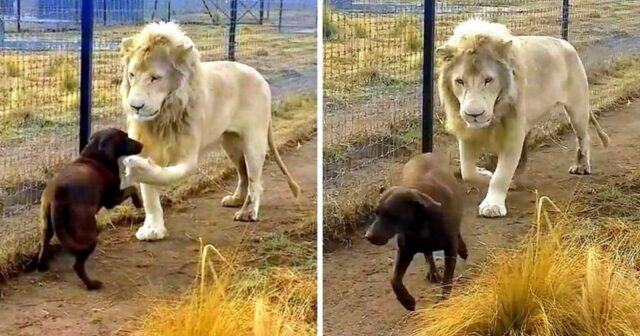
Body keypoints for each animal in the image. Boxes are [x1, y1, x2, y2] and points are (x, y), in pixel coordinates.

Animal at [37, 127, 144, 290]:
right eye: (125, 137)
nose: (142, 144)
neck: (95, 156)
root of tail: (59, 194)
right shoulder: (113, 198)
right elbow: (133, 187)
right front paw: (139, 203)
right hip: (89, 232)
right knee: (78, 266)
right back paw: (92, 284)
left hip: (46, 225)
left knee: (44, 245)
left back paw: (42, 266)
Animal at [119, 21, 302, 242]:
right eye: (132, 75)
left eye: (156, 78)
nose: (135, 106)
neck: (163, 117)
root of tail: (260, 77)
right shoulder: (149, 145)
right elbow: (149, 196)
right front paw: (153, 230)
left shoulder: (188, 154)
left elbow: (167, 174)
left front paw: (137, 167)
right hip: (231, 143)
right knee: (243, 172)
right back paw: (235, 199)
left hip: (254, 141)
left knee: (254, 179)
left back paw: (248, 212)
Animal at [364, 152, 464, 310]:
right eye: (376, 212)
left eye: (393, 216)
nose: (368, 236)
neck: (420, 225)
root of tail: (425, 153)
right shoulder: (405, 251)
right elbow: (394, 279)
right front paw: (407, 301)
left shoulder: (450, 249)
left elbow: (447, 280)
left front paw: (443, 302)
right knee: (428, 253)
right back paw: (432, 271)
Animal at [436, 19, 608, 218]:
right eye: (460, 81)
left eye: (488, 80)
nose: (474, 114)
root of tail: (566, 43)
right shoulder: (468, 133)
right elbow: (467, 172)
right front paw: (486, 173)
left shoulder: (513, 131)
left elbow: (501, 174)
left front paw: (493, 205)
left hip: (577, 108)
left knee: (584, 137)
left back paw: (582, 167)